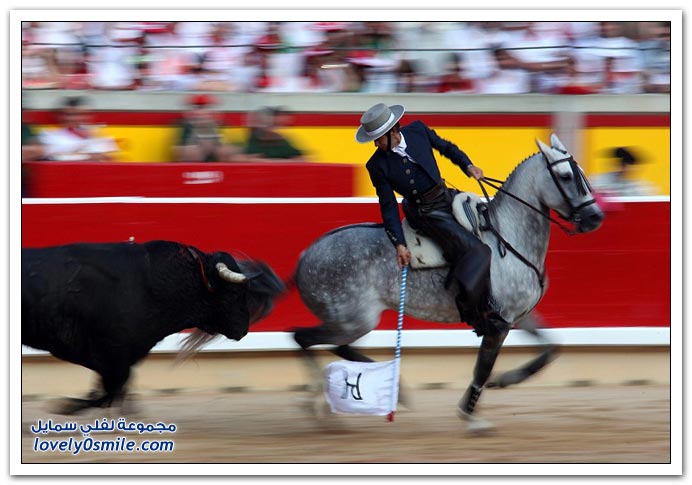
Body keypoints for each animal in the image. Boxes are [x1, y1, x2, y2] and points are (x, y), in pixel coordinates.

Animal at [21, 240, 286, 410]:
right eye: (233, 293)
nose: (244, 329)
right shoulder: (106, 351)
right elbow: (111, 387)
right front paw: (68, 406)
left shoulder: (122, 354)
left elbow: (115, 388)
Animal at [294, 134, 604, 432]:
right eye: (565, 176)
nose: (595, 217)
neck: (508, 235)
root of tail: (306, 255)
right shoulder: (498, 324)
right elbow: (482, 368)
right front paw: (471, 416)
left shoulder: (517, 315)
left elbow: (550, 348)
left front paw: (505, 379)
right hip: (353, 321)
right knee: (302, 337)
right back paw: (322, 408)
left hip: (351, 322)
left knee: (336, 346)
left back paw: (393, 390)